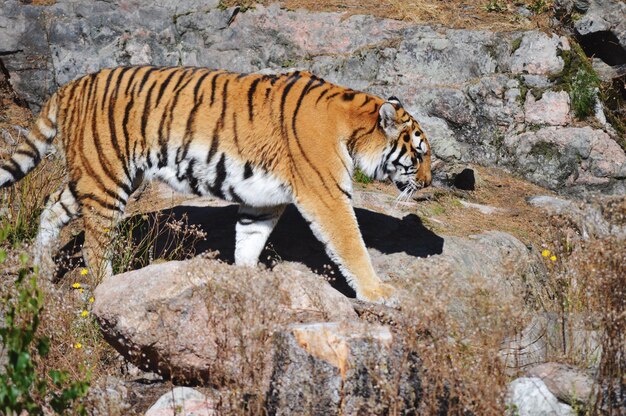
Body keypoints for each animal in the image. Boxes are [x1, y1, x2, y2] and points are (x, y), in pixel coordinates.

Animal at [0, 66, 428, 304]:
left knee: (51, 206)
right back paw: (106, 290)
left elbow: (249, 241)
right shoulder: (327, 196)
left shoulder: (264, 200)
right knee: (94, 246)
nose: (427, 183)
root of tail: (69, 86)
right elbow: (352, 246)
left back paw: (41, 273)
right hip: (106, 176)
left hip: (97, 175)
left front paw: (246, 281)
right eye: (420, 154)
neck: (354, 125)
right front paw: (378, 293)